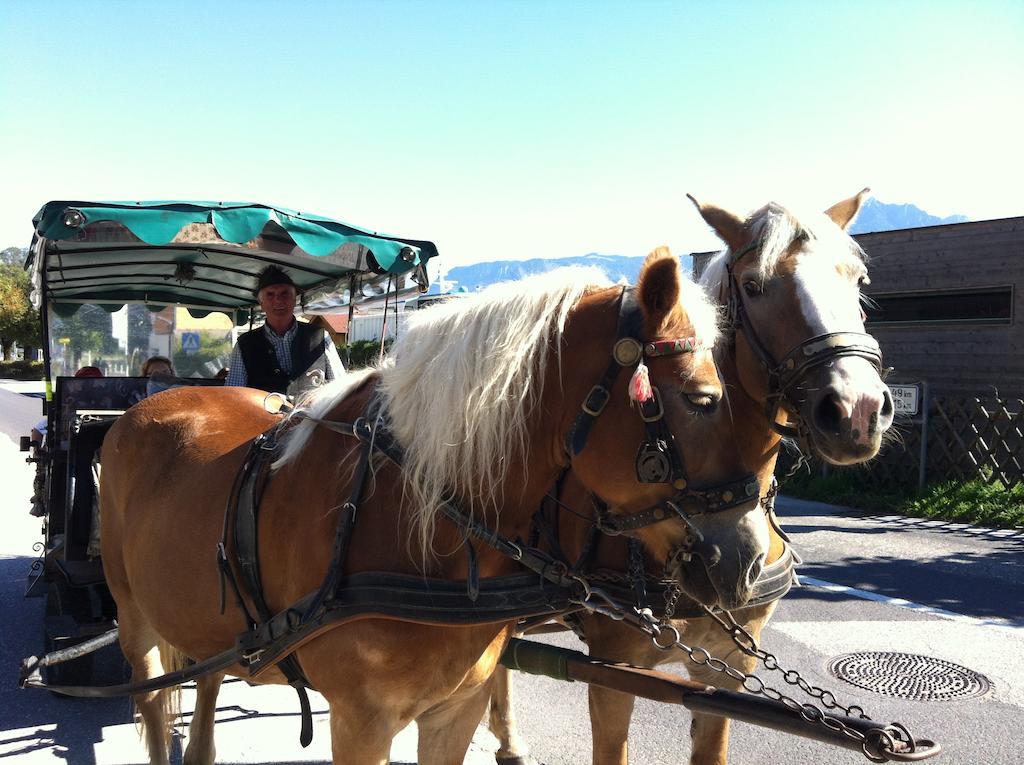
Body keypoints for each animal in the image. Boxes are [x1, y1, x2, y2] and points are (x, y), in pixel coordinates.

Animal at [101, 252, 770, 765]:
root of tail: (148, 405)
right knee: (153, 700)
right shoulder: (361, 723)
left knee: (208, 679)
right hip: (134, 620)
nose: (751, 560)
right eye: (703, 399)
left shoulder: (455, 711)